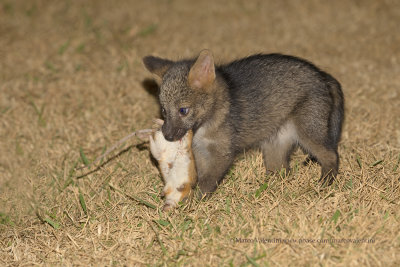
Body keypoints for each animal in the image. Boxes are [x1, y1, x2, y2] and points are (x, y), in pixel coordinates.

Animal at [143, 49, 344, 197]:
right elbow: (198, 176)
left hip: (309, 135)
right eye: (163, 111)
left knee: (332, 155)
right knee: (283, 173)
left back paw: (324, 184)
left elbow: (206, 182)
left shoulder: (222, 154)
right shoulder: (200, 152)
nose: (167, 136)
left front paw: (191, 201)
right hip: (274, 149)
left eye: (183, 110)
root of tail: (323, 75)